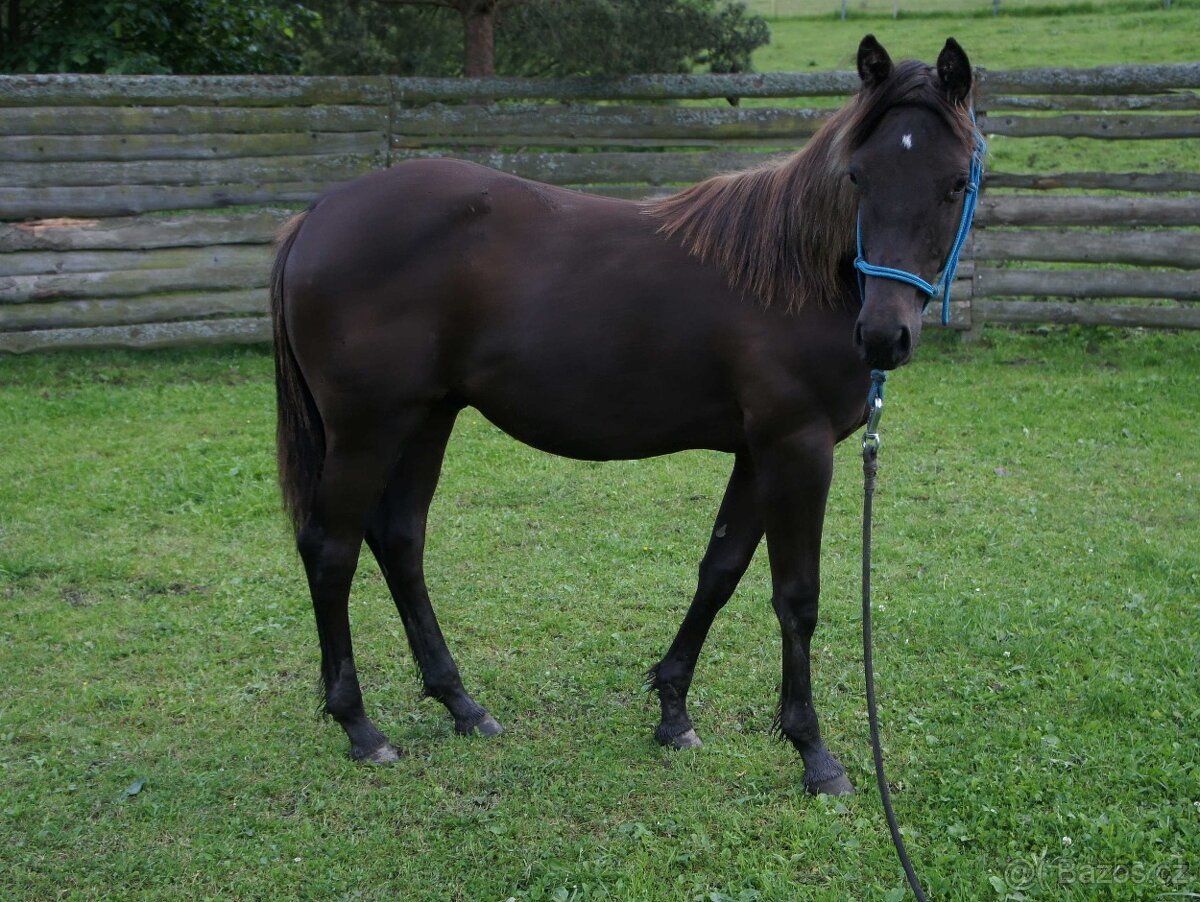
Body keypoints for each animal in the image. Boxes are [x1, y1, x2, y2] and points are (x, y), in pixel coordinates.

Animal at [270, 37, 974, 796]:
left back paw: (461, 703)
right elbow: (797, 596)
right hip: (366, 430)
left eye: (955, 183)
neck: (794, 272)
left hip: (427, 418)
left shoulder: (755, 452)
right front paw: (814, 752)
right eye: (857, 176)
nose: (882, 336)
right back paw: (360, 727)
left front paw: (672, 711)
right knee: (331, 550)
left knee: (399, 539)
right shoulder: (797, 448)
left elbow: (720, 570)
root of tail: (317, 216)